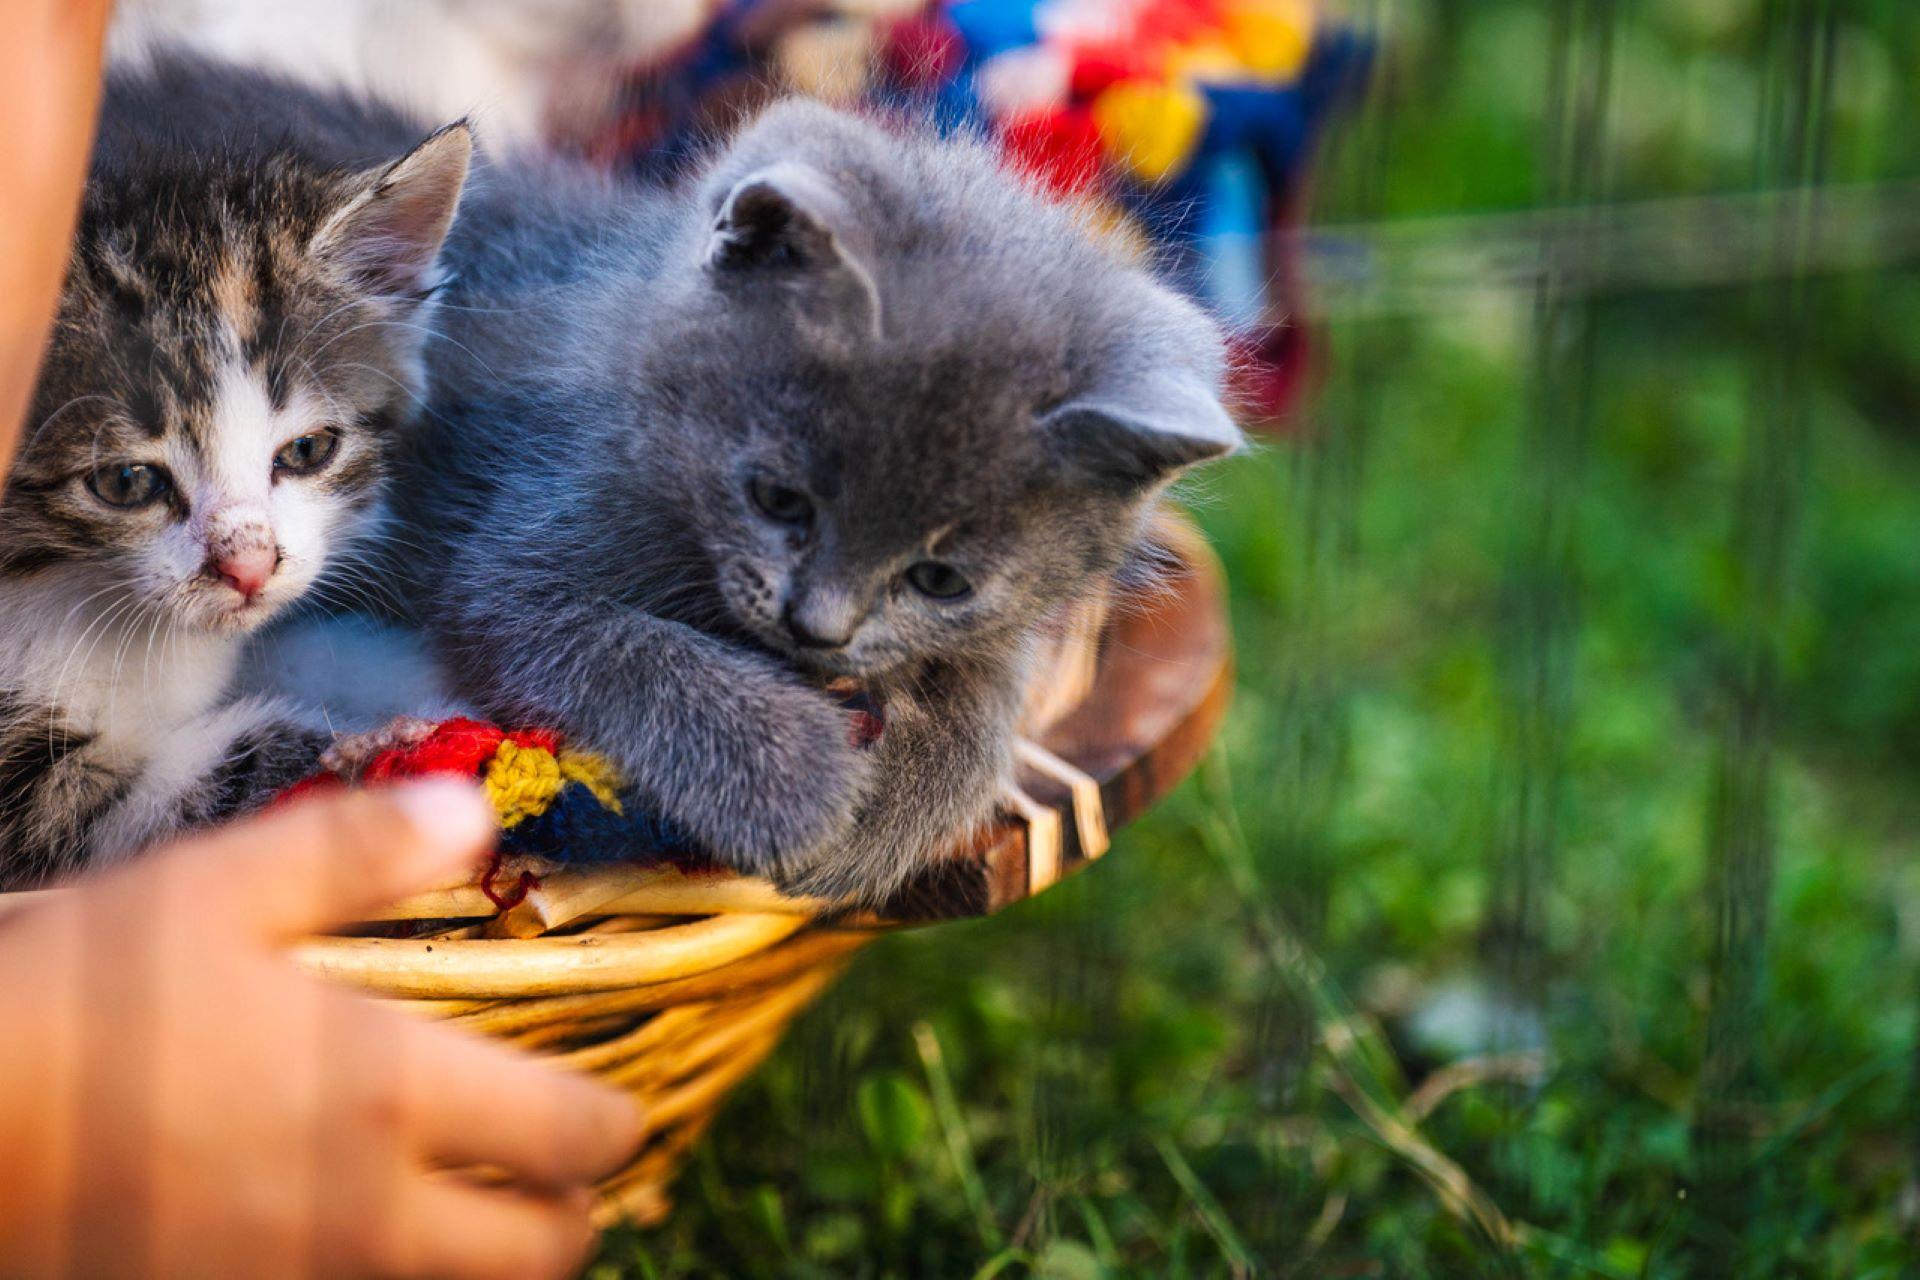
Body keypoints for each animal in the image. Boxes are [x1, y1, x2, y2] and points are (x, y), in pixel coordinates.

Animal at [0, 92, 468, 890]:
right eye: (126, 482)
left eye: (307, 451)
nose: (248, 568)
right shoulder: (33, 806)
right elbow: (212, 778)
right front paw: (389, 757)